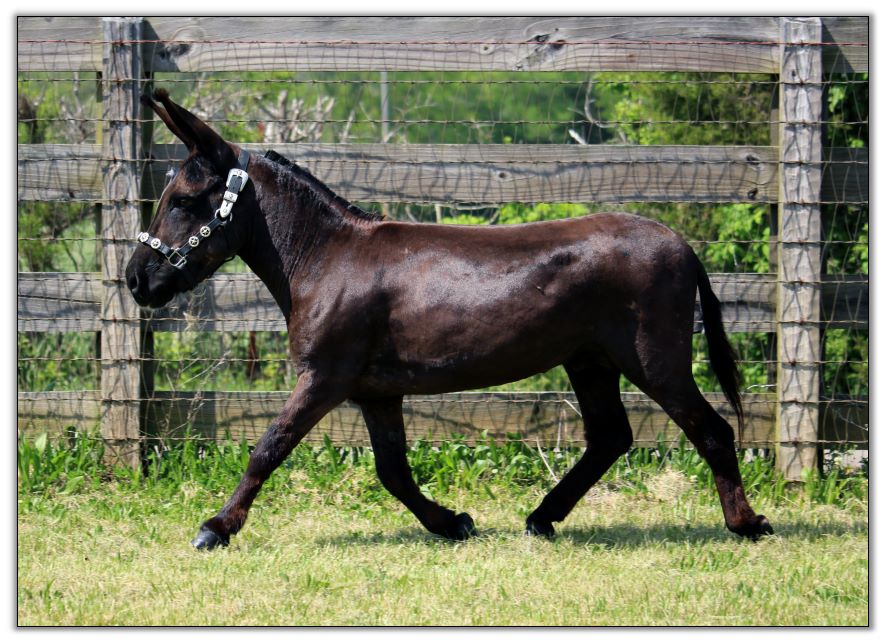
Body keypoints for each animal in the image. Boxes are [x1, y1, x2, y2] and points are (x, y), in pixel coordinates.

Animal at [126, 89, 773, 550]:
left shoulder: (325, 379)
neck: (327, 258)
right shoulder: (375, 392)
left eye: (182, 201)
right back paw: (542, 518)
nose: (136, 280)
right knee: (611, 436)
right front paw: (452, 522)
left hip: (653, 359)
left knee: (711, 430)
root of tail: (680, 243)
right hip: (589, 361)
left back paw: (746, 523)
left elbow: (269, 447)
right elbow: (393, 470)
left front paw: (216, 526)